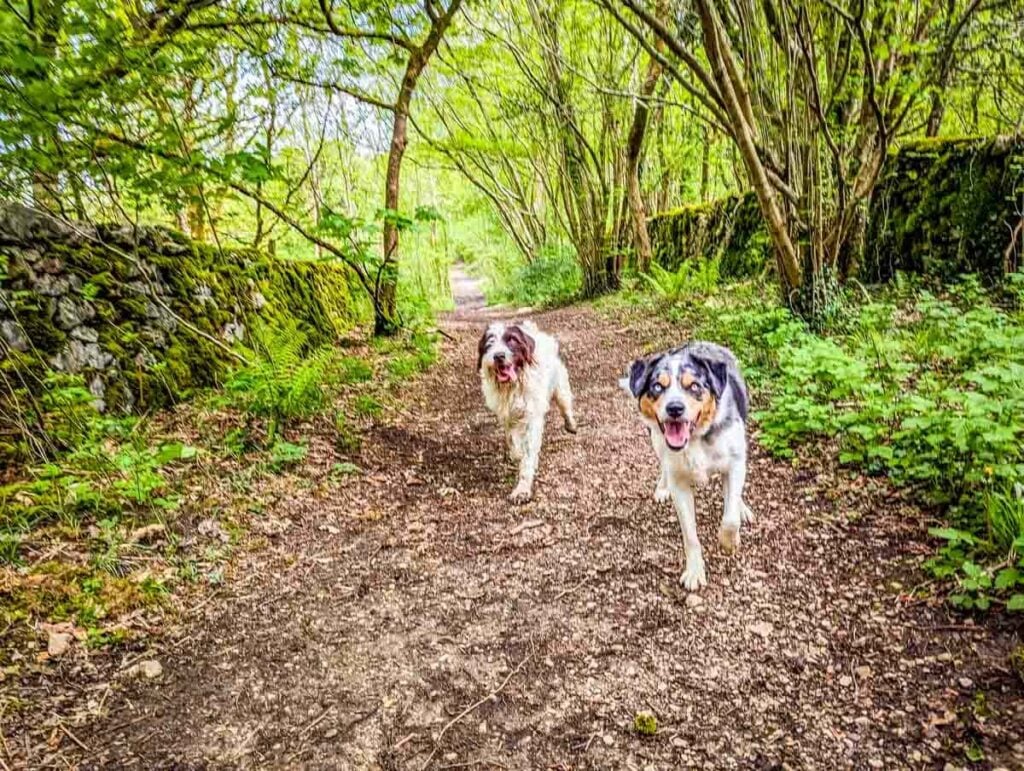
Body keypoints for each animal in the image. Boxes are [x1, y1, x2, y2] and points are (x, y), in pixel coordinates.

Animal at [477, 321, 577, 501]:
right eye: (490, 343)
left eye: (512, 340)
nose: (499, 356)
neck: (514, 385)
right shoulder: (507, 416)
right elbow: (512, 441)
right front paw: (516, 454)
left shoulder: (532, 417)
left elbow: (528, 453)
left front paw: (522, 489)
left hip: (560, 387)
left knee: (565, 406)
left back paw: (571, 424)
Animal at [618, 341, 757, 589]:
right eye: (657, 386)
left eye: (693, 386)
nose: (675, 408)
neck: (695, 438)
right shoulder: (679, 483)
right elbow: (690, 535)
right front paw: (694, 572)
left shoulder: (735, 462)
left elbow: (730, 517)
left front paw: (728, 541)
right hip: (656, 439)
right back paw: (661, 488)